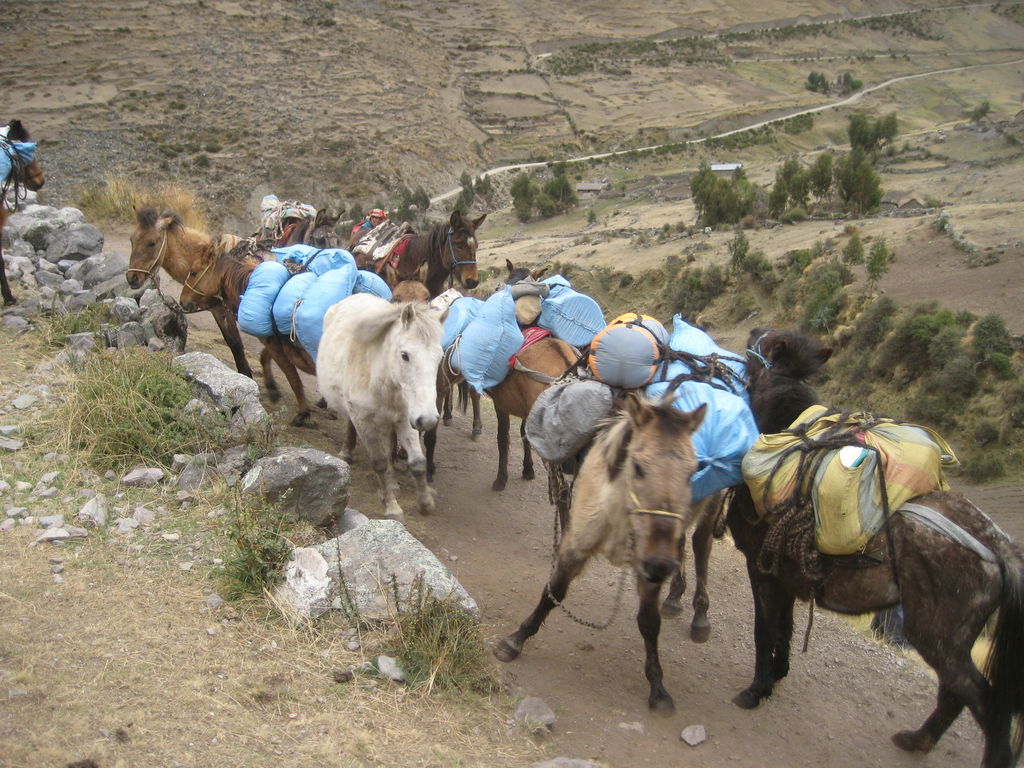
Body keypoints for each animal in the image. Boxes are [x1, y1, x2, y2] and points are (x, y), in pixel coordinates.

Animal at [319, 294, 448, 524]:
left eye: (439, 357)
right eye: (405, 355)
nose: (429, 420)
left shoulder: (406, 419)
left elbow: (417, 462)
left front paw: (425, 503)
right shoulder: (363, 421)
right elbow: (378, 463)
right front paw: (392, 508)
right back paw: (346, 453)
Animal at [493, 397, 704, 716]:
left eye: (693, 472)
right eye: (638, 466)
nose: (661, 565)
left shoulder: (647, 568)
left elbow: (649, 622)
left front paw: (658, 688)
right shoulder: (576, 545)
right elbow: (553, 592)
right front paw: (514, 641)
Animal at [729, 325, 1024, 768]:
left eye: (764, 342)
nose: (751, 330)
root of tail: (997, 544)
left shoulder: (762, 570)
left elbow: (764, 630)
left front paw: (756, 690)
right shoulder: (785, 577)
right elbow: (785, 627)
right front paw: (777, 675)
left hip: (937, 637)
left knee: (985, 706)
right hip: (954, 640)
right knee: (955, 696)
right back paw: (916, 741)